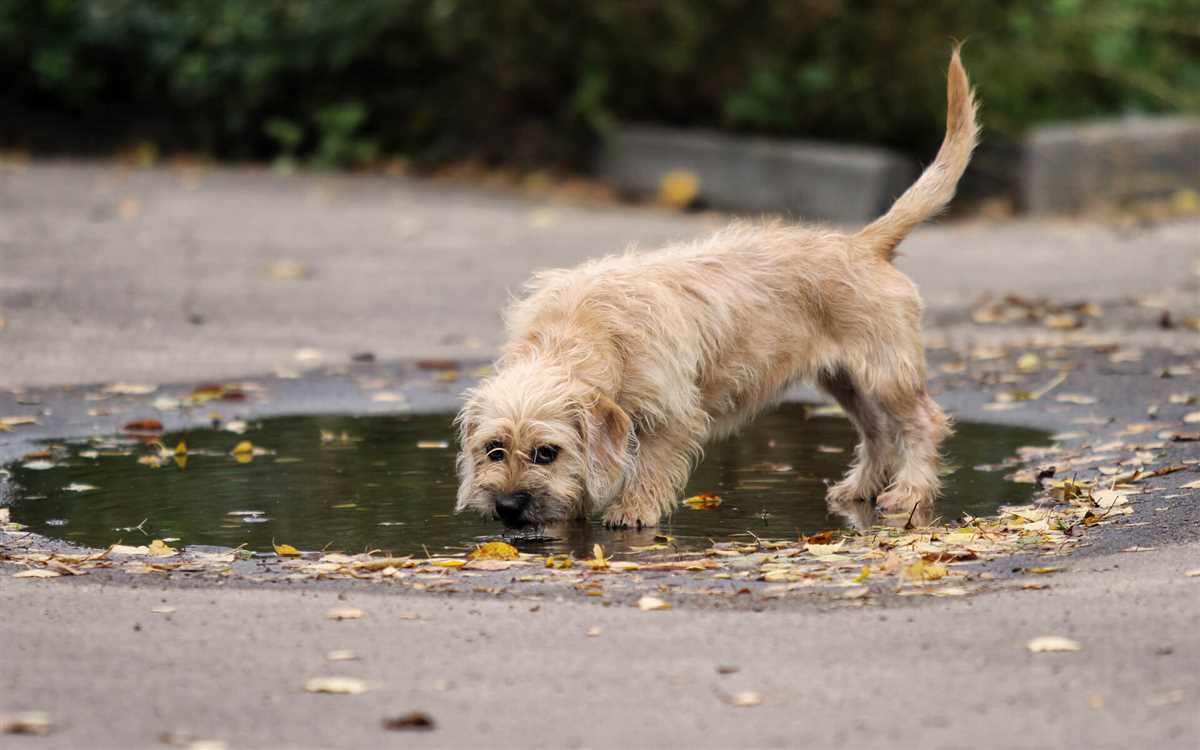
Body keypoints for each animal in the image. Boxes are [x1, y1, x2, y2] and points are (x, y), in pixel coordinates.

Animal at [453, 48, 979, 525]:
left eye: (547, 452)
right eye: (493, 449)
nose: (508, 508)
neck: (585, 329)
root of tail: (864, 242)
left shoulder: (670, 417)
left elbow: (650, 466)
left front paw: (633, 511)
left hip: (886, 374)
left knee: (923, 422)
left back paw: (911, 491)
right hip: (845, 381)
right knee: (877, 432)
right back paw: (862, 487)